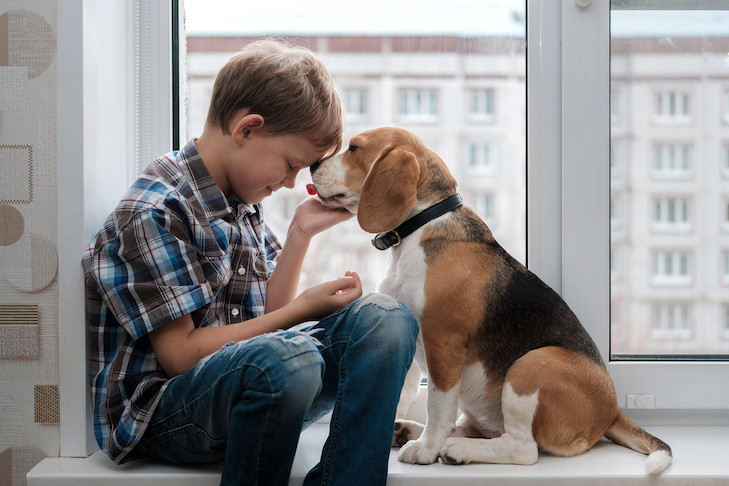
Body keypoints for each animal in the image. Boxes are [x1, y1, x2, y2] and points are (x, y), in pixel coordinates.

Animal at [308, 126, 672, 474]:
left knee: (523, 449)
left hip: (531, 364)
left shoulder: (443, 342)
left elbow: (438, 404)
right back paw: (410, 430)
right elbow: (402, 392)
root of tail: (613, 411)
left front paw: (426, 450)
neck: (420, 227)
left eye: (354, 148)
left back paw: (454, 449)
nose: (312, 165)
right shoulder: (407, 335)